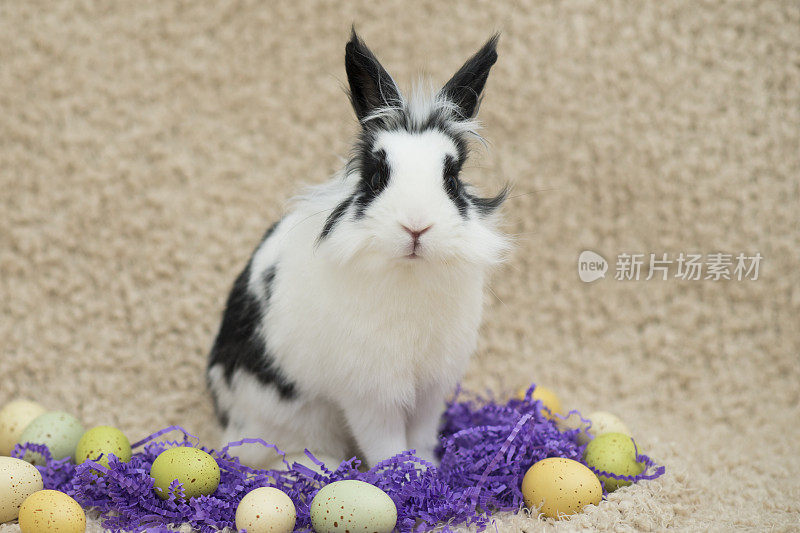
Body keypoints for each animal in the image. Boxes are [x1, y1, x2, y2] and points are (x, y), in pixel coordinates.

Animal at [206, 31, 506, 468]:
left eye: (451, 179)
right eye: (376, 178)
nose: (416, 227)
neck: (409, 271)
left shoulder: (430, 387)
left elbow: (421, 433)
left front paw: (428, 468)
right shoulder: (370, 393)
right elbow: (384, 441)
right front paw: (402, 473)